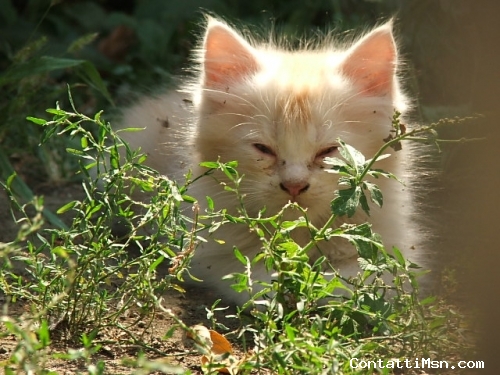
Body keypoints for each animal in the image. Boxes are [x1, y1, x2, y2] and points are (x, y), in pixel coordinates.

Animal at [119, 17, 420, 306]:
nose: (294, 185)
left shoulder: (393, 256)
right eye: (263, 149)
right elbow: (256, 279)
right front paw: (290, 286)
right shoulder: (212, 257)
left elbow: (349, 282)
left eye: (329, 151)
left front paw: (311, 286)